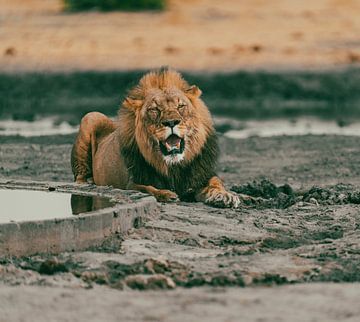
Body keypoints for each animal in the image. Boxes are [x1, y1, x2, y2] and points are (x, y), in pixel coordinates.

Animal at [70, 68, 240, 209]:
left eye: (180, 106)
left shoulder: (201, 176)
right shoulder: (131, 183)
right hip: (90, 116)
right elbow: (147, 188)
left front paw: (225, 196)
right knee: (80, 175)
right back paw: (87, 183)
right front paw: (166, 194)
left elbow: (216, 183)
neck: (173, 167)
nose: (171, 122)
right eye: (155, 109)